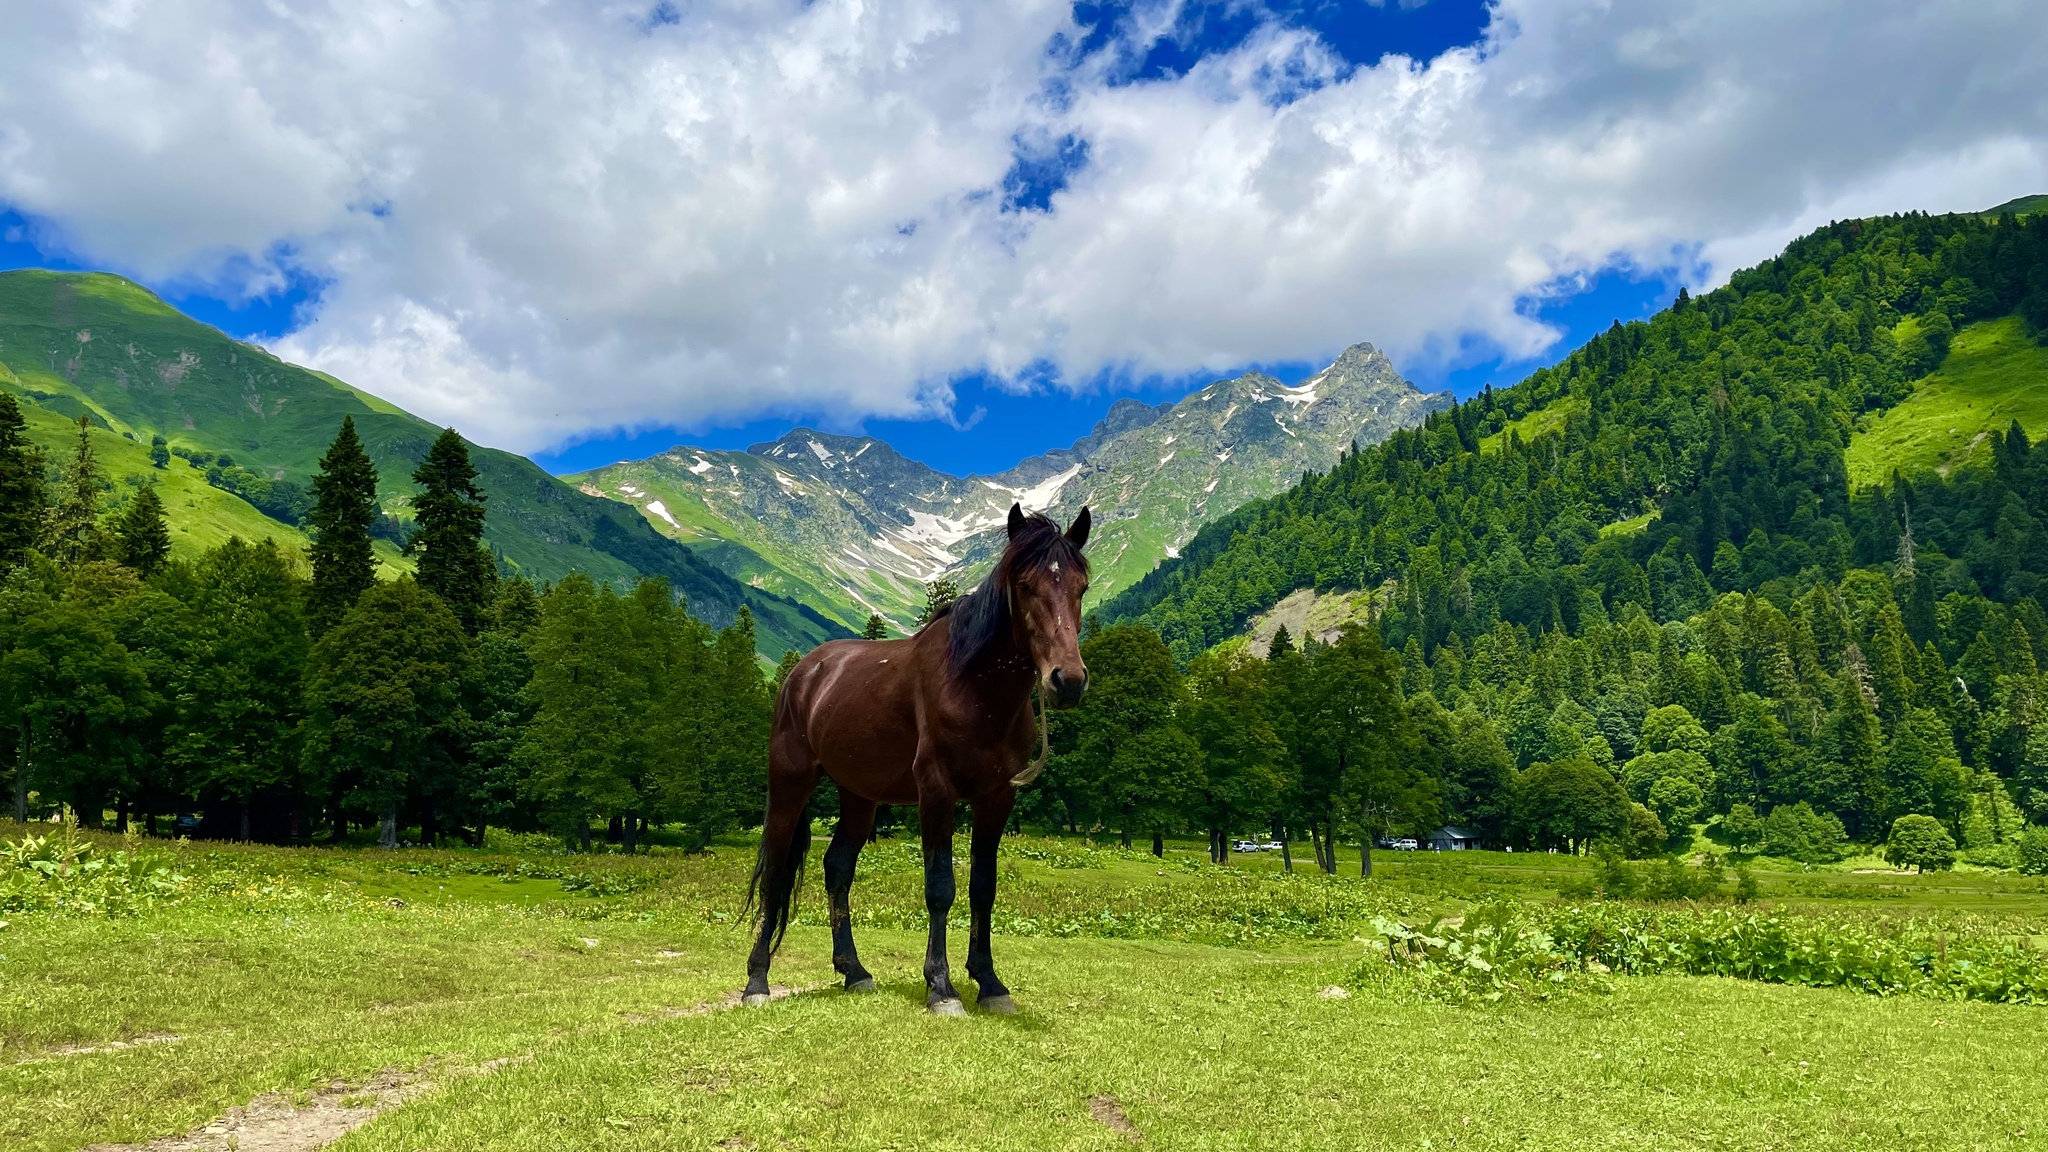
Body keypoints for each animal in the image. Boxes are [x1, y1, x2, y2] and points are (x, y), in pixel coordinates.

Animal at [749, 502, 1097, 1012]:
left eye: (1081, 587)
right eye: (1024, 584)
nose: (1067, 681)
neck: (975, 689)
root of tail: (805, 672)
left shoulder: (997, 799)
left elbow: (982, 887)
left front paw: (990, 982)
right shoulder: (937, 793)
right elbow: (940, 888)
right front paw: (941, 987)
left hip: (859, 796)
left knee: (837, 868)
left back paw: (854, 971)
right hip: (790, 784)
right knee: (775, 871)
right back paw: (756, 981)